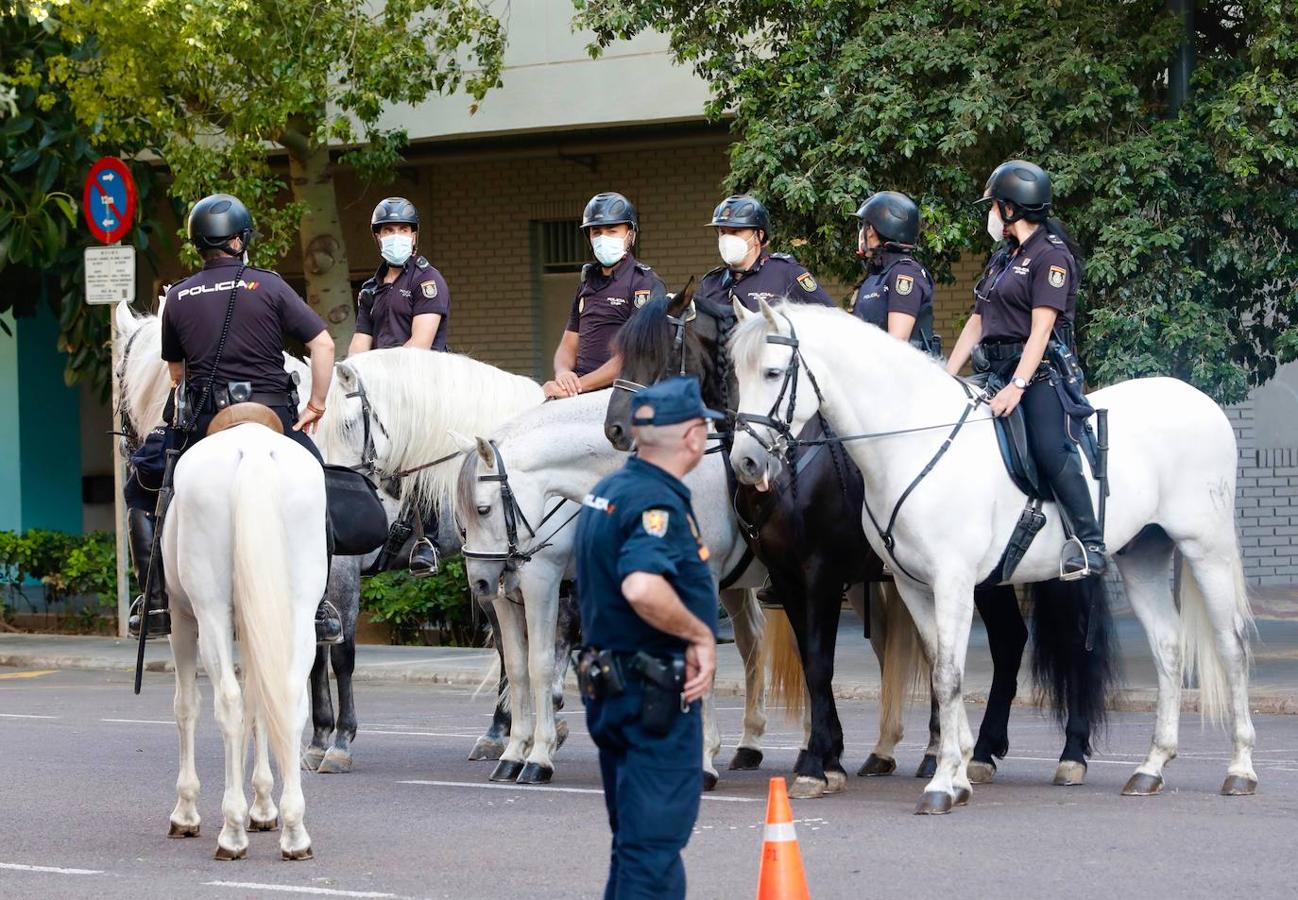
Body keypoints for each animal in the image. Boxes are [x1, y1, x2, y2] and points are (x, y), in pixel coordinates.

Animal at [114, 303, 327, 857]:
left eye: (119, 378)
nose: (124, 441)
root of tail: (251, 452)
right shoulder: (256, 618)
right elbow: (260, 701)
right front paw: (265, 806)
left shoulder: (183, 619)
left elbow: (189, 706)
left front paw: (189, 810)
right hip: (296, 610)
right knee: (287, 696)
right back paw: (294, 830)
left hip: (207, 611)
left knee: (226, 704)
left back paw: (229, 831)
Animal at [454, 389, 768, 789]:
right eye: (462, 518)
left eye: (484, 509)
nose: (479, 582)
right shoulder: (509, 598)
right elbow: (517, 667)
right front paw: (514, 752)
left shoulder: (544, 581)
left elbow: (540, 665)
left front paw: (538, 756)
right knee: (753, 641)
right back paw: (750, 745)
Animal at [732, 300, 1246, 815]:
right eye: (736, 372)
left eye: (773, 372)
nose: (746, 463)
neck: (911, 442)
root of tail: (1196, 399)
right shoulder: (910, 586)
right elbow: (940, 667)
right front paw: (957, 771)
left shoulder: (923, 580)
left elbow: (942, 675)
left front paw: (937, 781)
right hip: (1142, 556)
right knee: (1167, 647)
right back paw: (1150, 767)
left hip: (1205, 550)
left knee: (1229, 646)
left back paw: (1237, 769)